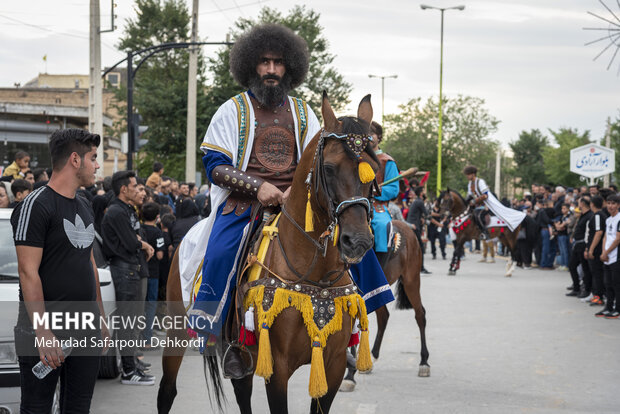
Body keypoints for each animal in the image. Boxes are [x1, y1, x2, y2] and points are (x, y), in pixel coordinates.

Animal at [157, 92, 382, 412]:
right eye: (329, 168)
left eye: (373, 171)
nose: (358, 241)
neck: (316, 275)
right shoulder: (277, 366)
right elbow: (218, 162)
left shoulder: (333, 365)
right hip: (176, 329)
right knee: (167, 390)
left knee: (241, 389)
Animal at [340, 220, 432, 392]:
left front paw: (349, 376)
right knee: (384, 317)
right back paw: (371, 357)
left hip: (411, 280)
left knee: (420, 315)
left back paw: (424, 362)